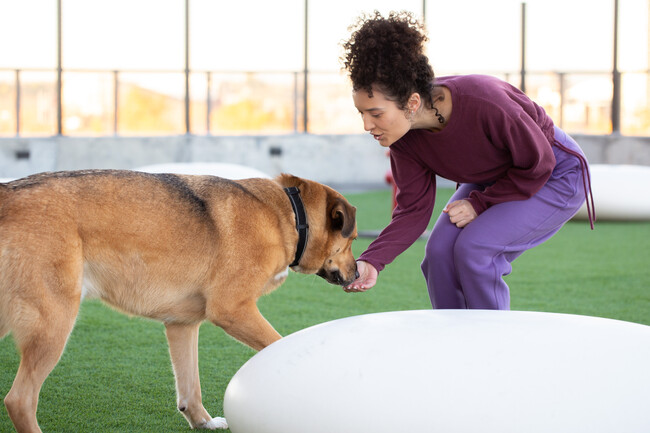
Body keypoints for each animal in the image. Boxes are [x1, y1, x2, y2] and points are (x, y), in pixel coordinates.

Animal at [0, 170, 356, 432]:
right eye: (352, 239)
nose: (356, 273)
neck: (290, 214)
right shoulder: (233, 310)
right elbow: (278, 345)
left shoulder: (181, 325)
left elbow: (189, 387)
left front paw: (203, 422)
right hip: (54, 323)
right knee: (19, 400)